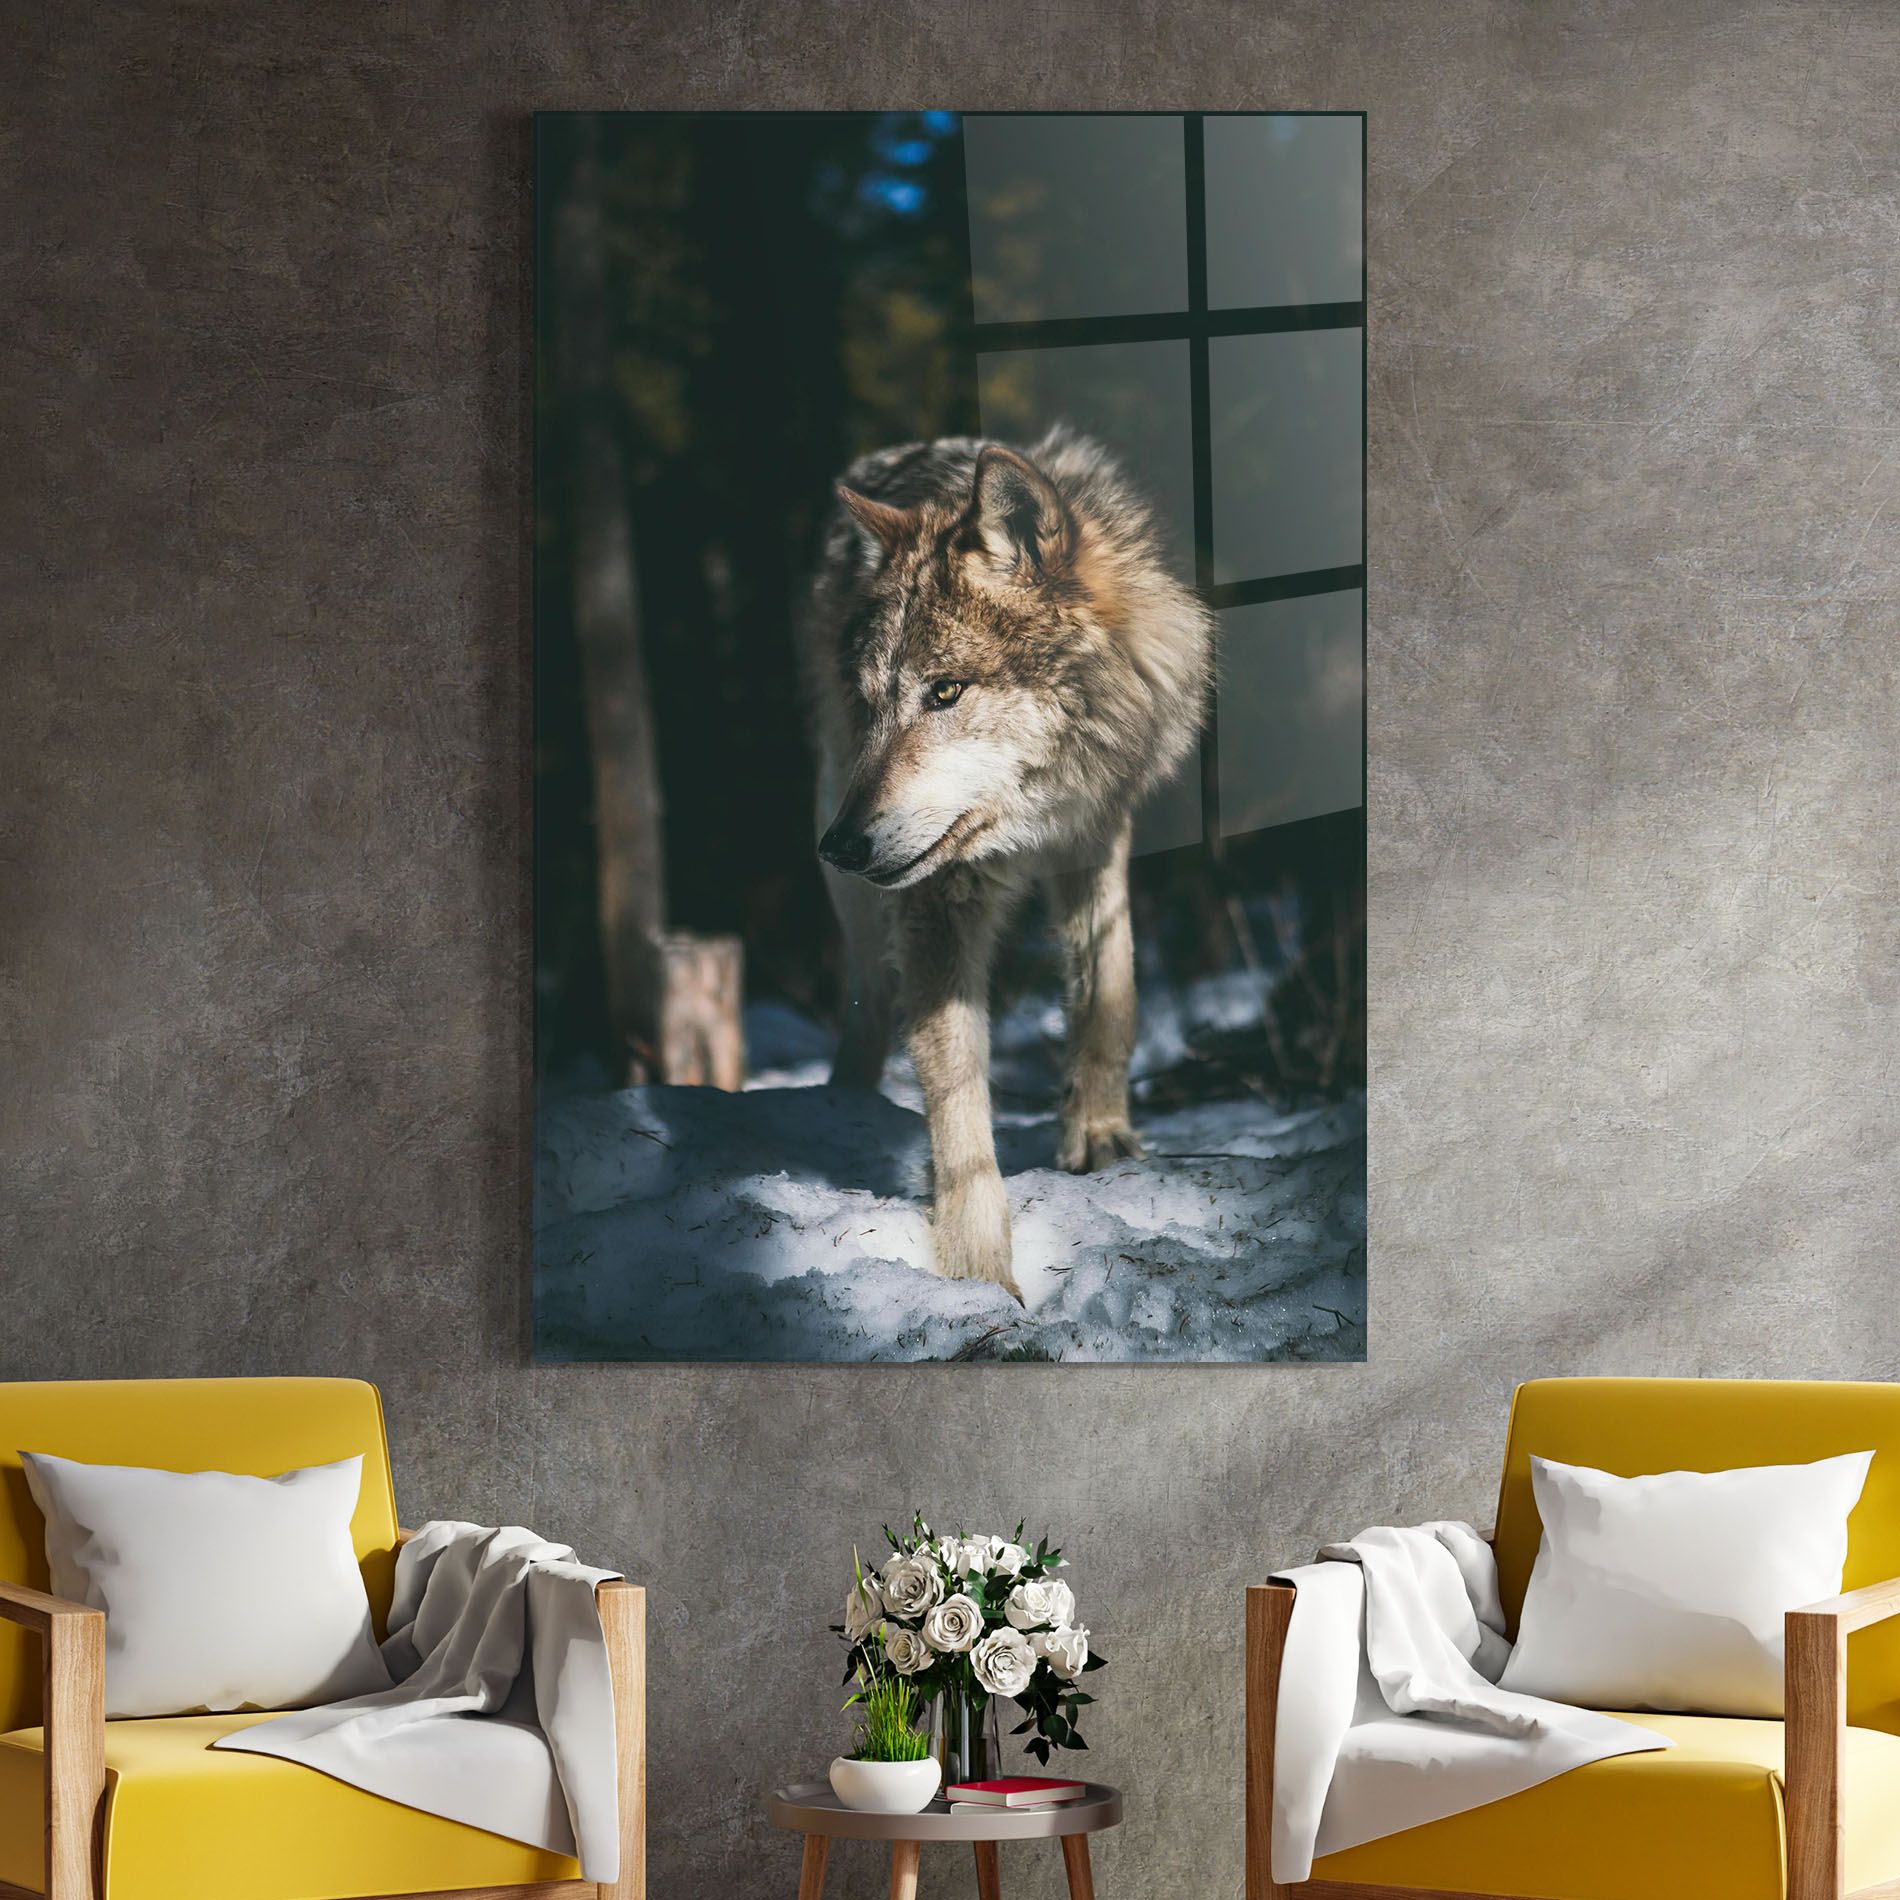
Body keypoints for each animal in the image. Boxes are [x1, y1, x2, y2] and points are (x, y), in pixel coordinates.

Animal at [798, 426, 1212, 1300]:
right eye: (871, 704)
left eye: (945, 691)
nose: (841, 846)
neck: (1030, 816)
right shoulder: (936, 896)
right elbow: (956, 1094)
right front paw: (978, 1272)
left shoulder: (1098, 832)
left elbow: (1111, 994)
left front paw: (1100, 1137)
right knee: (868, 997)